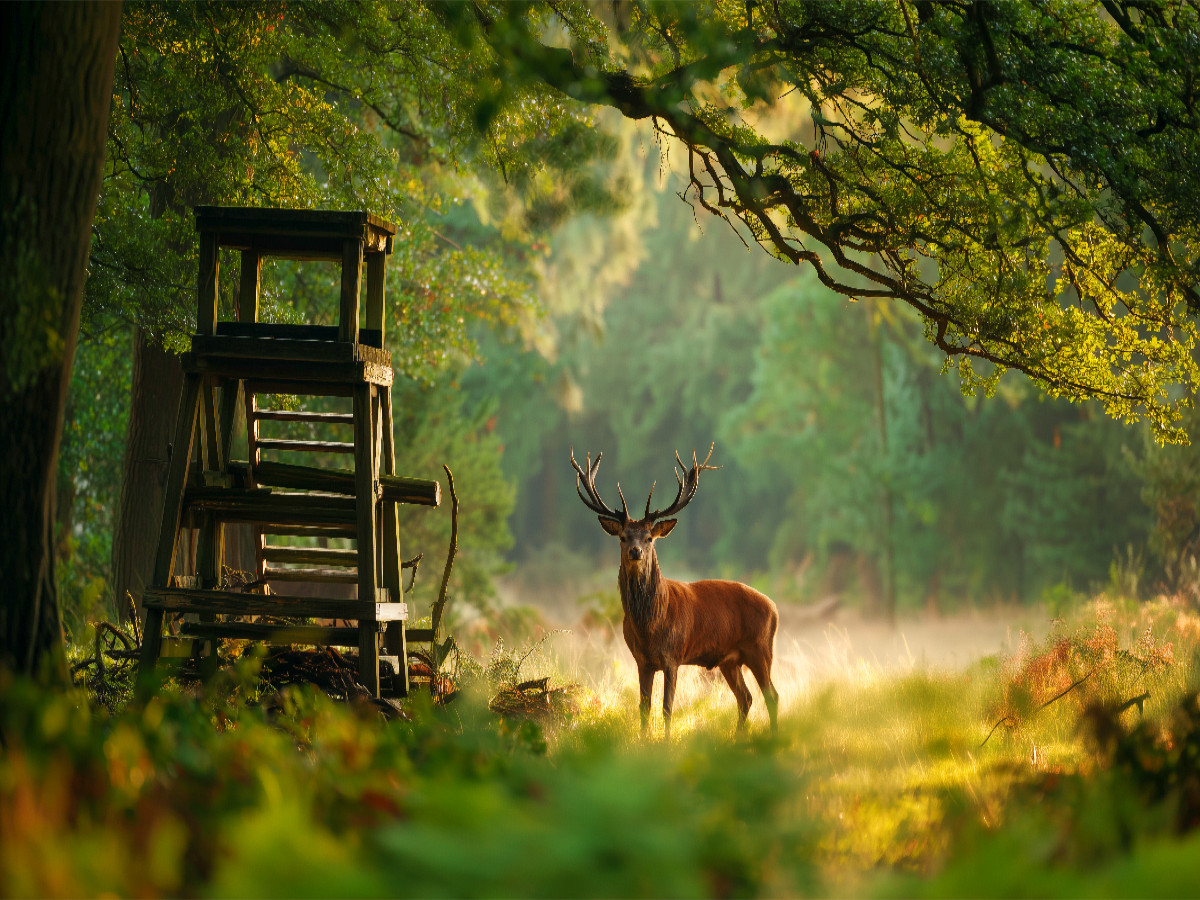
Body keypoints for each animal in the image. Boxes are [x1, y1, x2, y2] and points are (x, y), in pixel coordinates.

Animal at [570, 445, 779, 735]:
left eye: (649, 538)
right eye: (623, 537)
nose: (635, 551)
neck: (650, 624)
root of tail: (774, 607)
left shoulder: (673, 656)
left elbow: (667, 708)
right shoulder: (642, 661)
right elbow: (644, 709)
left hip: (760, 649)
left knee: (772, 696)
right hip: (729, 660)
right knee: (746, 697)